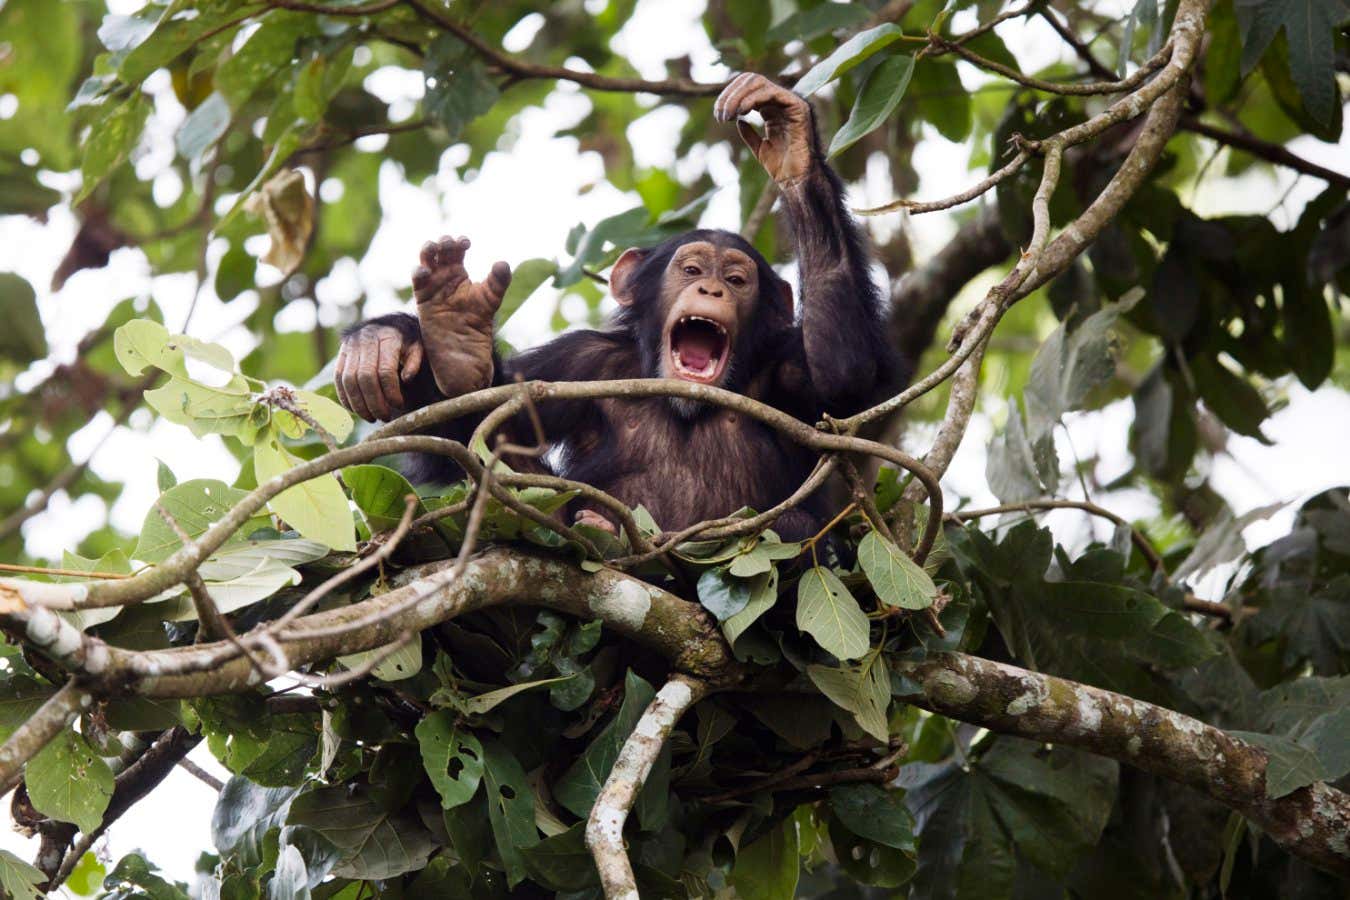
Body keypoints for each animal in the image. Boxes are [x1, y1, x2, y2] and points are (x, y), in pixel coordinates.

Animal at [334, 74, 900, 542]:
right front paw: (431, 342)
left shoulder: (782, 366)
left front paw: (792, 143)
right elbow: (487, 432)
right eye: (692, 270)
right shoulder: (576, 364)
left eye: (737, 280)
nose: (713, 290)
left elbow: (840, 376)